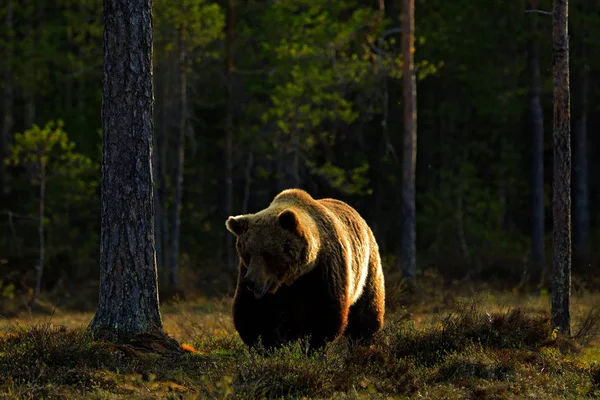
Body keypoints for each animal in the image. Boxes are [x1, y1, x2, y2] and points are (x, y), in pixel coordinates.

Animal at [225, 188, 384, 350]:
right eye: (247, 253)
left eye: (268, 254)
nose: (251, 282)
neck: (293, 277)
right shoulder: (253, 279)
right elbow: (253, 314)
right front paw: (270, 345)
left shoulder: (323, 271)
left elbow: (322, 316)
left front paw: (311, 346)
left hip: (367, 269)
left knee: (366, 313)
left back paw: (362, 342)